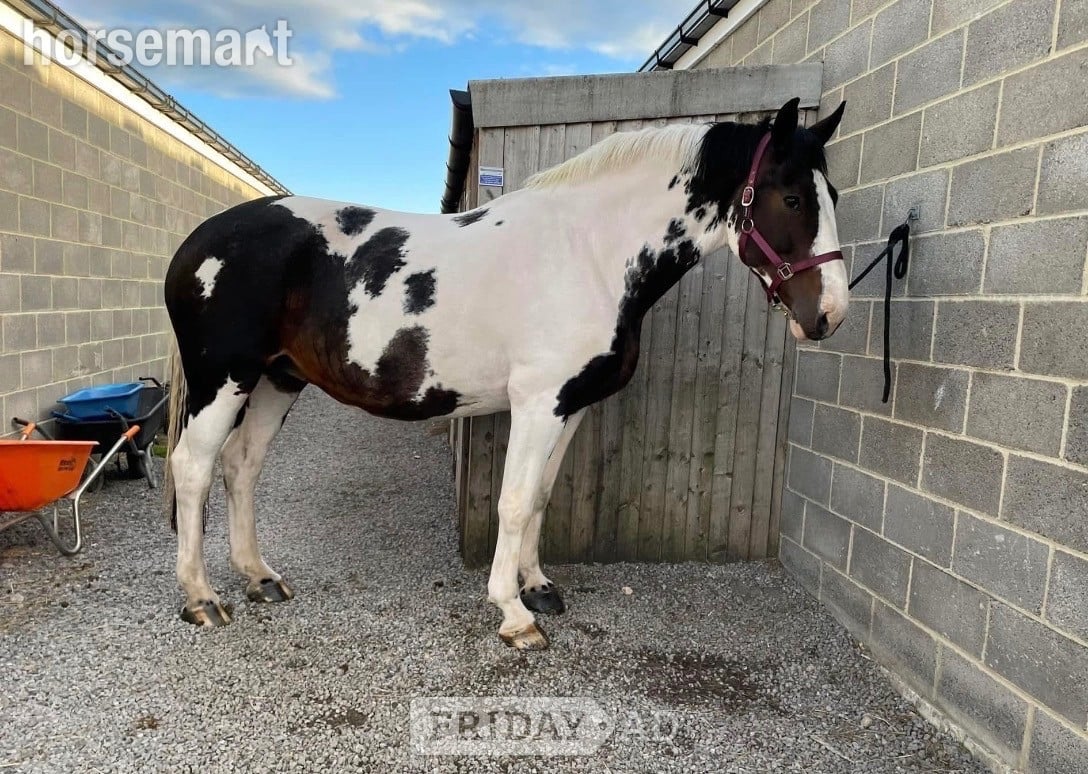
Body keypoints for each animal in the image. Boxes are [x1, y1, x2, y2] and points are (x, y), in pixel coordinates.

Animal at [162, 97, 848, 650]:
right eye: (791, 198)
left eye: (832, 197)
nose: (829, 314)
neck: (589, 253)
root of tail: (196, 241)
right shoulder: (538, 403)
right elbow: (514, 501)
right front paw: (515, 614)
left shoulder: (572, 405)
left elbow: (541, 495)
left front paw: (538, 585)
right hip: (223, 378)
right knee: (193, 467)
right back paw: (201, 598)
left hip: (277, 380)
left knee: (241, 465)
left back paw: (259, 578)